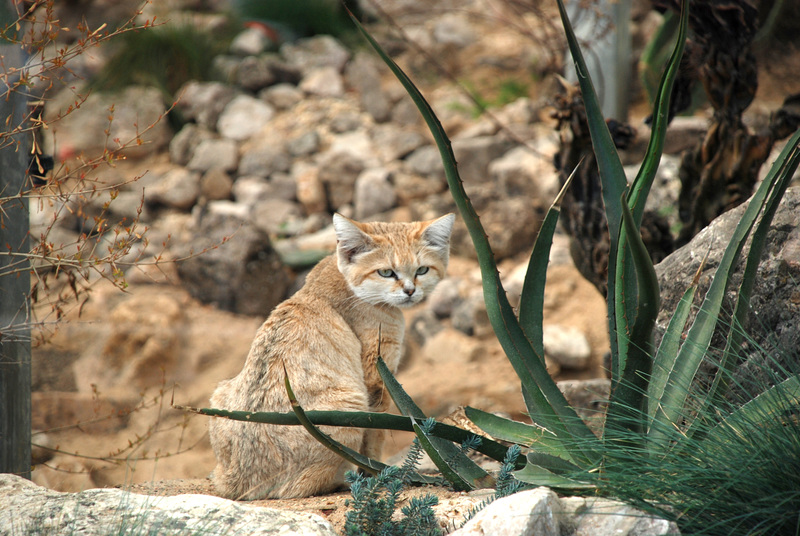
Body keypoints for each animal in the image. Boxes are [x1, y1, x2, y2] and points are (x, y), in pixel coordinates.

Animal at [209, 213, 454, 498]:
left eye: (422, 270)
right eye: (386, 272)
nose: (410, 291)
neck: (347, 281)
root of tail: (239, 481)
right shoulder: (377, 378)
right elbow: (375, 437)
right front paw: (377, 474)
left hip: (220, 393)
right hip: (349, 405)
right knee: (302, 486)